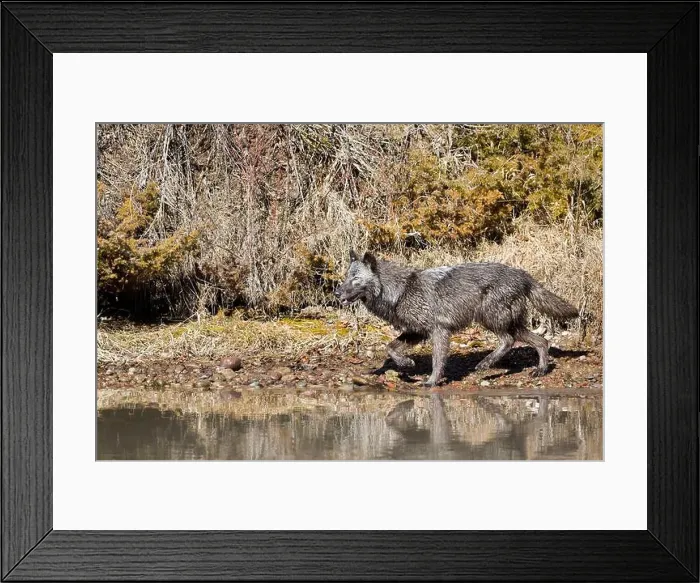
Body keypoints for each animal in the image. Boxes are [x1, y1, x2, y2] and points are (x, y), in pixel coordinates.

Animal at [335, 251, 578, 386]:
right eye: (346, 277)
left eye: (355, 279)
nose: (336, 292)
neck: (401, 290)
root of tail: (523, 275)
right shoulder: (416, 332)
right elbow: (390, 348)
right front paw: (407, 363)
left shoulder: (439, 331)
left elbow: (437, 361)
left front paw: (432, 382)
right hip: (510, 323)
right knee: (542, 341)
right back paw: (541, 370)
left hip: (490, 318)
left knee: (508, 341)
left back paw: (485, 364)